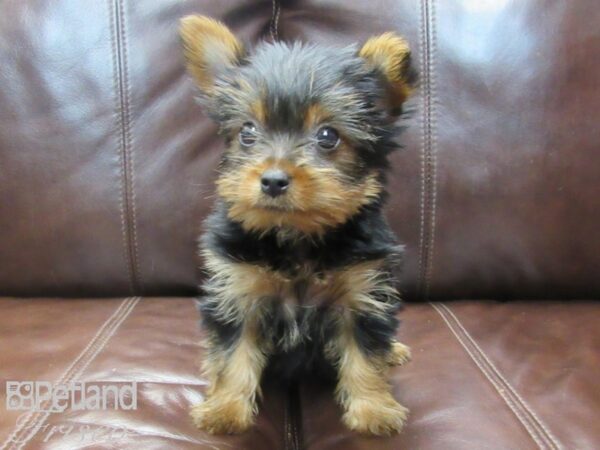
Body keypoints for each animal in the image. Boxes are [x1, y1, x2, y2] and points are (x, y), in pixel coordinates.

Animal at [178, 15, 414, 434]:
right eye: (247, 132)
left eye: (328, 136)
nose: (273, 180)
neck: (296, 236)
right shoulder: (238, 292)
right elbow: (234, 354)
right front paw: (225, 409)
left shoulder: (362, 292)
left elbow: (365, 354)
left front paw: (374, 410)